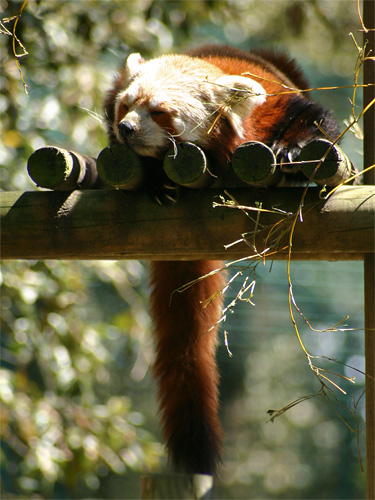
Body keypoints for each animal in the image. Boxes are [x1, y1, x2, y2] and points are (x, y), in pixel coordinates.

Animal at [103, 45, 340, 474]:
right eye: (126, 106)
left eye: (159, 112)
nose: (126, 128)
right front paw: (156, 180)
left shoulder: (277, 103)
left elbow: (311, 120)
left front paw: (294, 150)